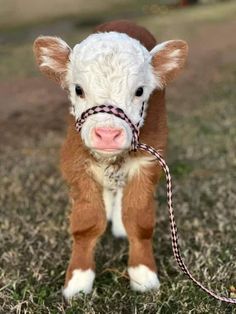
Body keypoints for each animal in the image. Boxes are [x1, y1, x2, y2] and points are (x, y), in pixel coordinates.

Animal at [33, 19, 188, 300]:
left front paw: (142, 274)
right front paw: (78, 280)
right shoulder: (74, 159)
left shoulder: (148, 162)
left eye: (140, 91)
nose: (107, 134)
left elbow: (139, 219)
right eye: (78, 89)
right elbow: (86, 222)